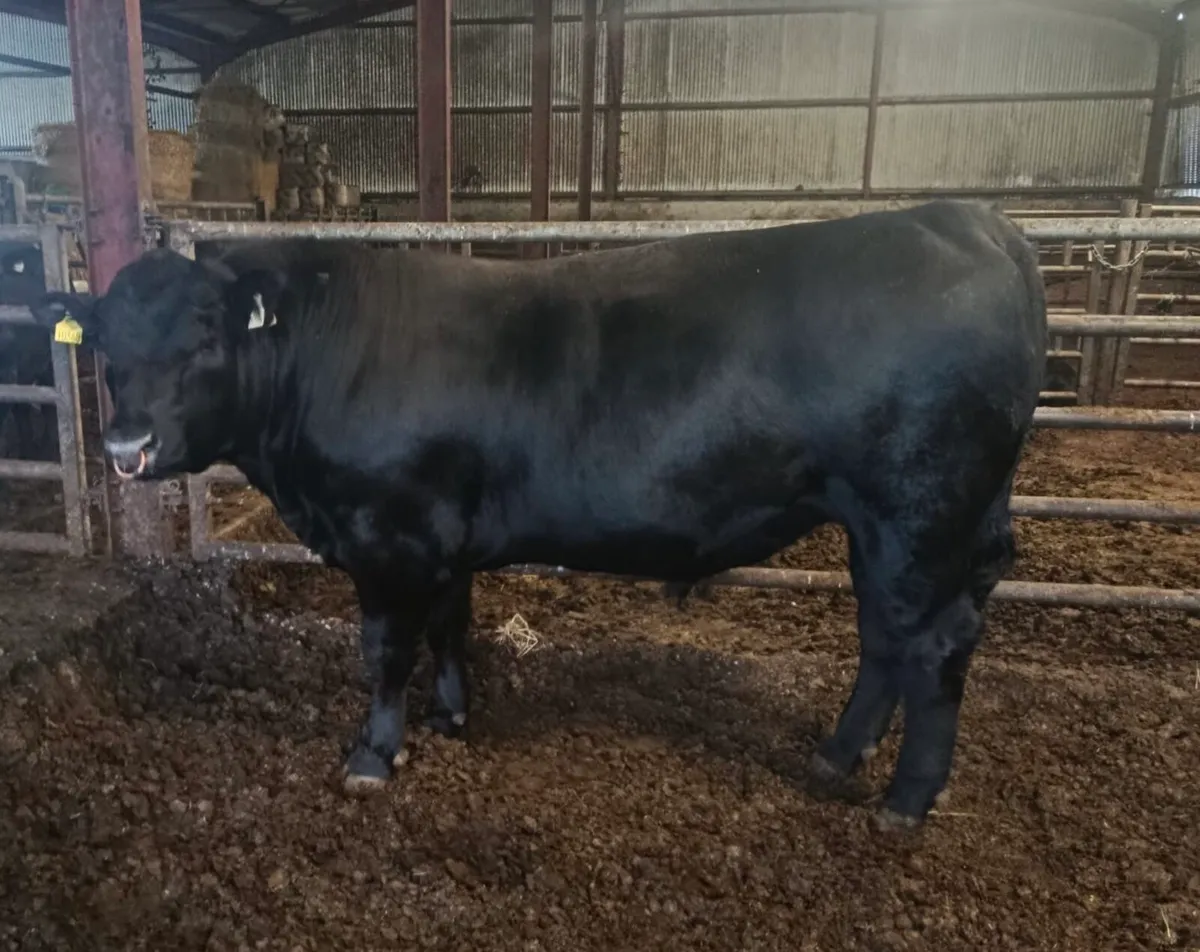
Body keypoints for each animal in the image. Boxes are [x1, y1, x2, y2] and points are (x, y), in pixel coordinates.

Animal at [29, 200, 1047, 830]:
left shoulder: (388, 533)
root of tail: (966, 219)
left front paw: (373, 754)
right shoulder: (441, 535)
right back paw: (839, 754)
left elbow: (385, 650)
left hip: (918, 511)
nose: (125, 447)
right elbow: (450, 626)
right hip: (898, 527)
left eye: (203, 337)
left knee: (933, 644)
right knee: (887, 635)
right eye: (105, 343)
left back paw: (905, 801)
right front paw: (452, 717)